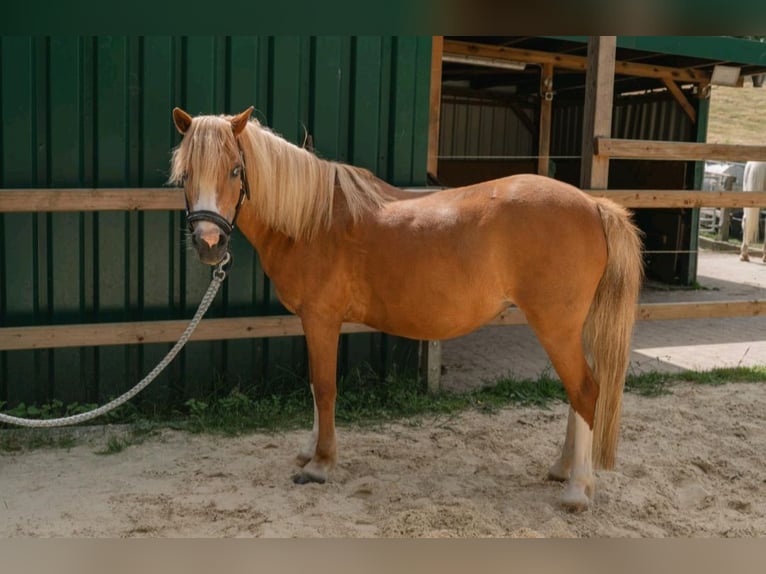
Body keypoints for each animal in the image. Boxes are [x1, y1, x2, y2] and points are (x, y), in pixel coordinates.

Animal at [171, 106, 644, 510]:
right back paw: (562, 469)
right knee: (580, 393)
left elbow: (324, 388)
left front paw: (321, 464)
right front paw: (309, 451)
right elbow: (314, 386)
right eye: (186, 174)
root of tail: (594, 205)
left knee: (586, 391)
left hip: (555, 327)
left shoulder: (322, 319)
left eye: (235, 170)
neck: (312, 218)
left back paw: (577, 490)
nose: (209, 244)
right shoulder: (313, 321)